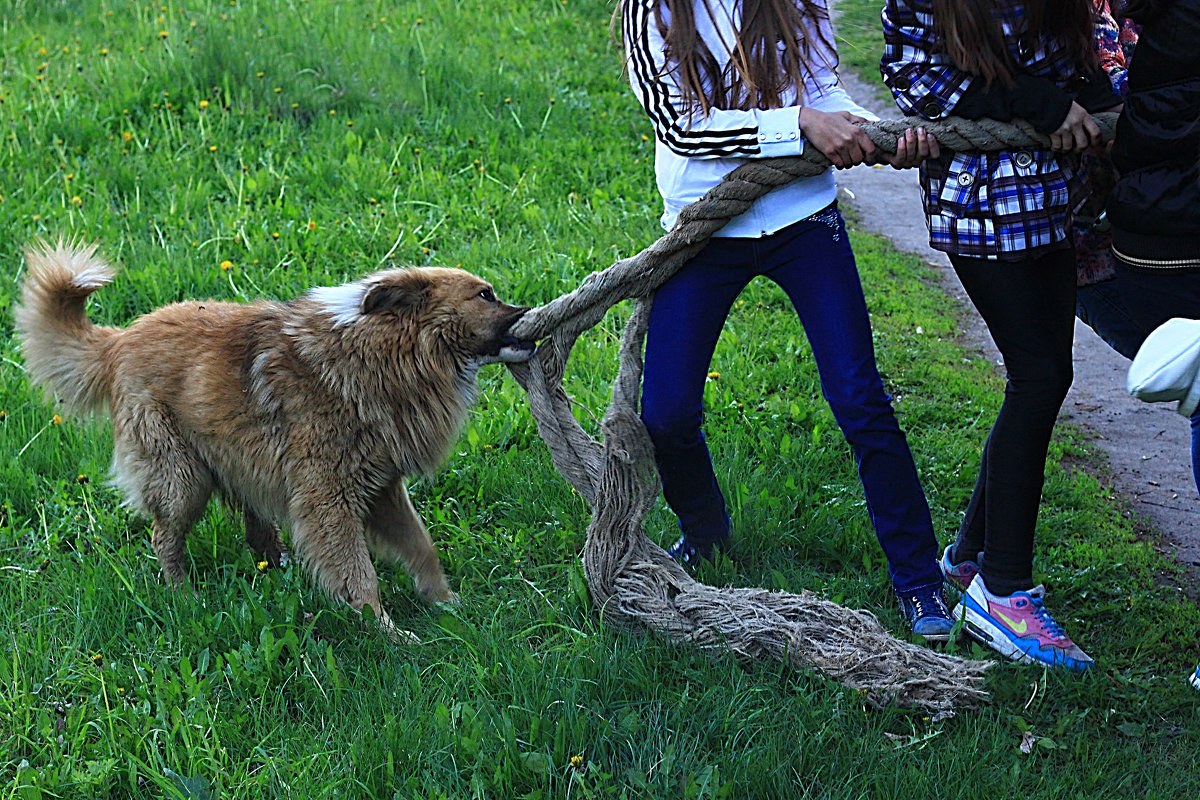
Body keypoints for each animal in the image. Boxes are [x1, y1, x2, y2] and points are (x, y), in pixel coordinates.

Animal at [15, 239, 535, 638]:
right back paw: (184, 596)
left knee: (254, 527)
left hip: (243, 460)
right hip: (181, 478)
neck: (382, 354)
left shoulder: (383, 488)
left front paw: (447, 604)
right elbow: (359, 573)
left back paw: (276, 566)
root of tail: (118, 340)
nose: (532, 310)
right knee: (165, 537)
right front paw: (386, 631)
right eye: (485, 295)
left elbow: (422, 547)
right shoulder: (330, 498)